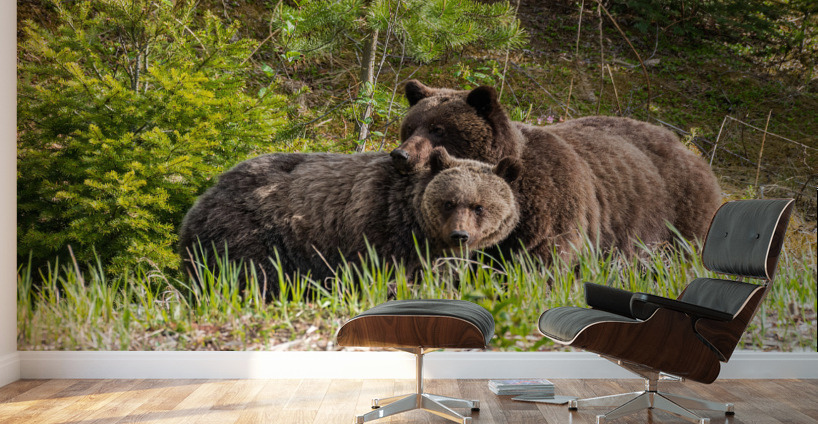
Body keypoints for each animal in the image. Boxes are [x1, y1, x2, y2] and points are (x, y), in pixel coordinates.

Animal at [179, 148, 522, 296]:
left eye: (479, 206)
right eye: (449, 202)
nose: (459, 235)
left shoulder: (434, 254)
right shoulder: (376, 227)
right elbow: (381, 274)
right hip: (251, 231)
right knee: (252, 275)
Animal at [391, 80, 722, 262]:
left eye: (438, 129)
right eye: (409, 127)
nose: (401, 154)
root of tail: (689, 150)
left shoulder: (552, 208)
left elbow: (542, 260)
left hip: (675, 218)